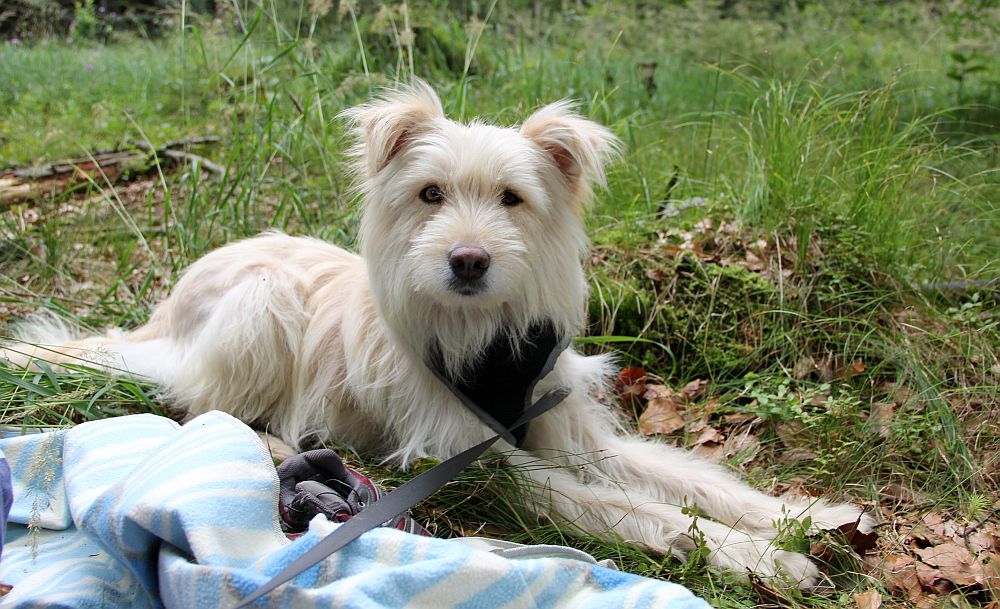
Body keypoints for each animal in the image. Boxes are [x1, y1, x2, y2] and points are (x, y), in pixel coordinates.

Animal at [3, 83, 872, 588]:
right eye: (429, 194)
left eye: (513, 199)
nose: (467, 258)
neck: (483, 337)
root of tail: (159, 318)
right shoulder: (482, 464)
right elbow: (625, 507)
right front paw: (760, 555)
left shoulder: (567, 427)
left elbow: (687, 478)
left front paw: (802, 514)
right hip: (261, 301)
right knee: (205, 405)